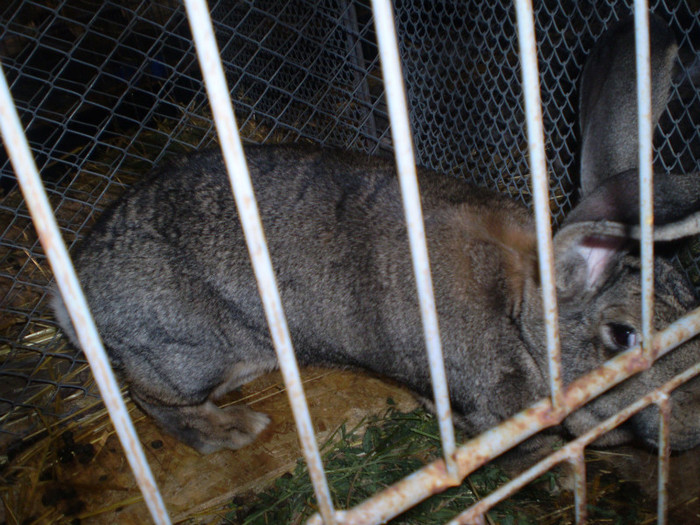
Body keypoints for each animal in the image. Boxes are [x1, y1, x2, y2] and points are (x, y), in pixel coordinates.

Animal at [52, 14, 700, 452]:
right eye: (622, 335)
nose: (691, 430)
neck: (521, 316)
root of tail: (73, 293)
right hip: (187, 354)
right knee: (153, 399)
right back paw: (233, 431)